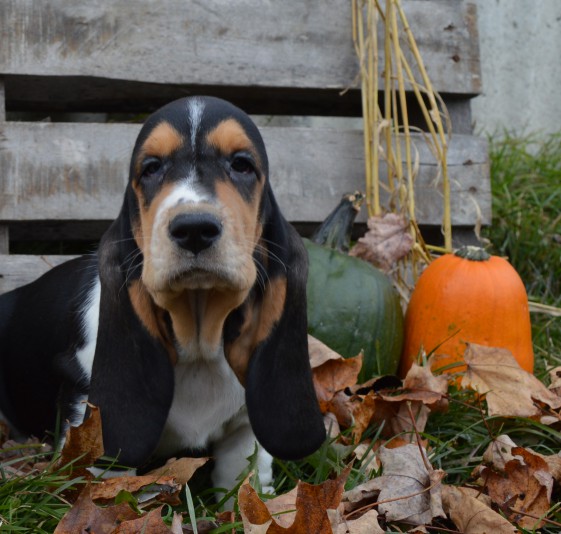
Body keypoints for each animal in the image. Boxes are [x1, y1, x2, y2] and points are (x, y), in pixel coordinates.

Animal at [0, 97, 326, 494]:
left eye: (242, 164)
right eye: (151, 168)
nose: (195, 229)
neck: (198, 344)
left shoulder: (245, 432)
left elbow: (242, 482)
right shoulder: (87, 413)